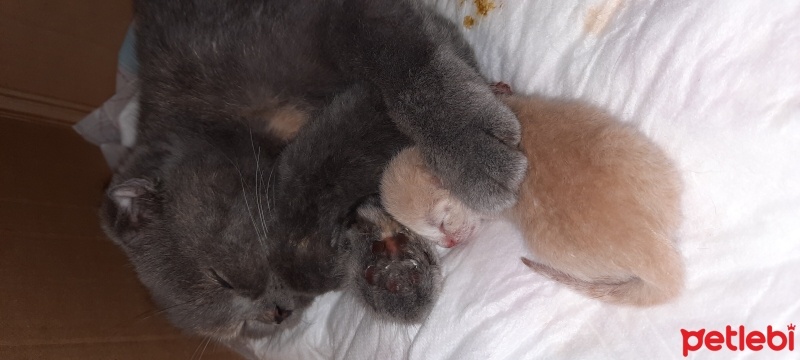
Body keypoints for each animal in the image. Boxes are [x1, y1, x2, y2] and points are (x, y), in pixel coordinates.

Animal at [101, 0, 524, 346]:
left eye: (221, 278)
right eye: (246, 328)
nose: (277, 312)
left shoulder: (326, 18)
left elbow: (400, 63)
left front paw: (471, 147)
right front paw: (390, 274)